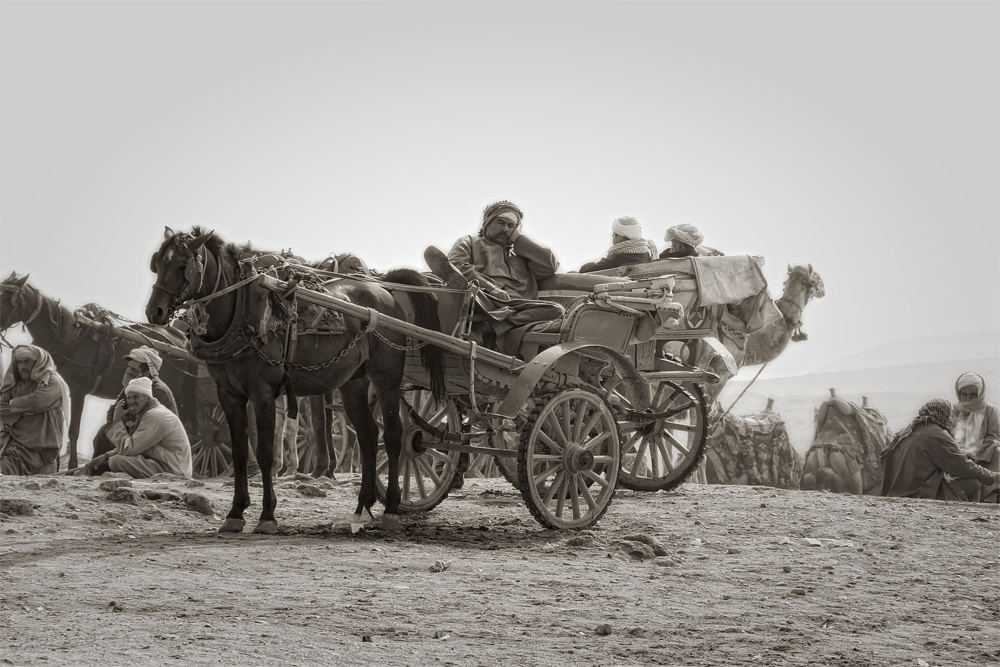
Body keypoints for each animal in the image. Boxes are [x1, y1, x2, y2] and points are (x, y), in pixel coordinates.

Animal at [2, 272, 197, 470]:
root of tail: (182, 340)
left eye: (7, 296)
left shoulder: (78, 390)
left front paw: (72, 465)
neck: (70, 337)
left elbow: (74, 431)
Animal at [145, 227, 446, 536]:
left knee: (393, 435)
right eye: (157, 263)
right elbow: (239, 452)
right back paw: (362, 508)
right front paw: (235, 513)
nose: (154, 311)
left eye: (182, 265)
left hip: (386, 378)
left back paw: (391, 509)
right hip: (354, 382)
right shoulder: (228, 393)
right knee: (368, 435)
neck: (241, 313)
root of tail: (385, 289)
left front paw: (267, 515)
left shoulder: (263, 392)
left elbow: (265, 452)